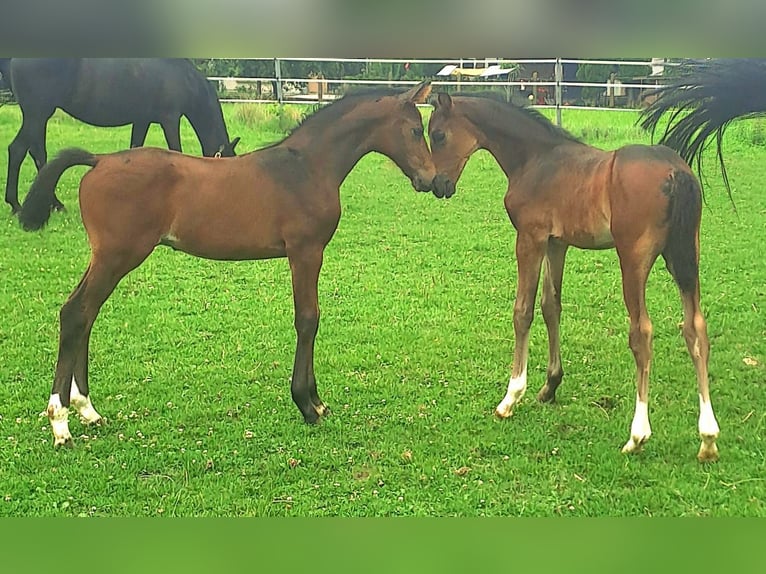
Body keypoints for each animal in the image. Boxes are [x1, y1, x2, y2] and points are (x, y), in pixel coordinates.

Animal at [3, 58, 240, 214]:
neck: (183, 77)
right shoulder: (170, 119)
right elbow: (175, 151)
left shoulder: (142, 120)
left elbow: (136, 148)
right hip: (37, 114)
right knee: (21, 150)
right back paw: (20, 205)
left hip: (38, 116)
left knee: (32, 152)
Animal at [19, 82, 438, 450]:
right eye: (416, 130)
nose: (432, 180)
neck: (307, 167)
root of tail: (100, 159)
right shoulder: (305, 252)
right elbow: (308, 320)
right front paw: (309, 405)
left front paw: (315, 402)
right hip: (117, 257)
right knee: (77, 313)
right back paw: (61, 423)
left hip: (106, 258)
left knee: (83, 315)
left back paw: (86, 409)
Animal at [428, 93, 724, 464]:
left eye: (438, 134)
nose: (439, 186)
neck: (536, 159)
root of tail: (675, 171)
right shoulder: (557, 243)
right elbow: (550, 306)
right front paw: (550, 386)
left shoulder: (530, 238)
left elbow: (522, 311)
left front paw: (511, 397)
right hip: (685, 257)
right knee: (696, 327)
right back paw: (708, 438)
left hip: (634, 260)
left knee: (642, 332)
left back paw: (638, 435)